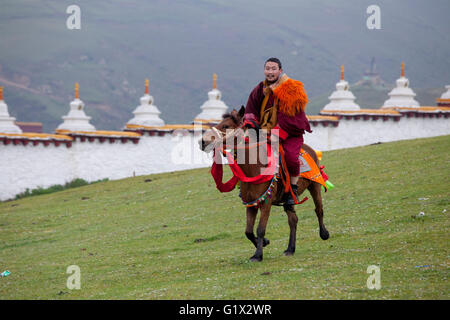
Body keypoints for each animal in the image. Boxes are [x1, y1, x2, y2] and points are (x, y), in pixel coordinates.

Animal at [199, 106, 328, 262]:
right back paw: (290, 249)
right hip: (288, 199)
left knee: (319, 209)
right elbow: (248, 231)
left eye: (226, 126)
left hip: (315, 186)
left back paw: (324, 234)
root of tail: (311, 150)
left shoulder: (266, 202)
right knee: (293, 220)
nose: (203, 141)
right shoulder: (251, 203)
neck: (254, 168)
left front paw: (257, 255)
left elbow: (260, 229)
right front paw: (264, 243)